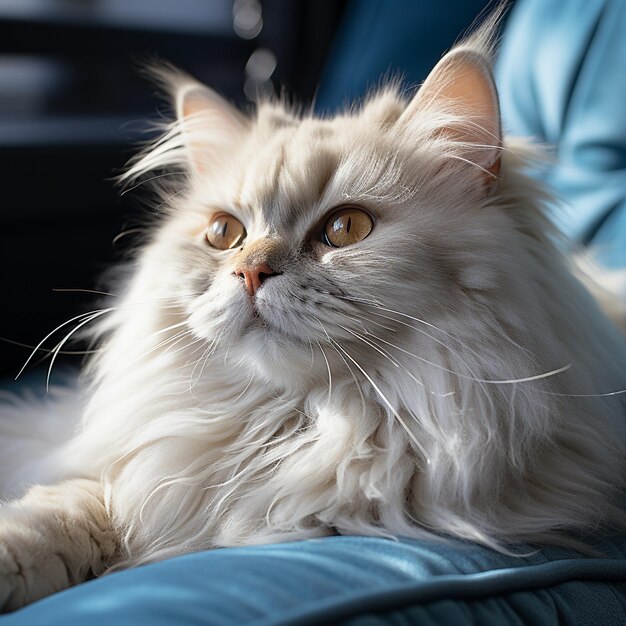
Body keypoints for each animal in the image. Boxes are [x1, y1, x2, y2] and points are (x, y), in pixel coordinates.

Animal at [1, 13, 624, 608]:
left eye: (345, 229)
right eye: (225, 234)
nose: (250, 272)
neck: (293, 423)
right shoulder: (145, 474)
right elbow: (73, 506)